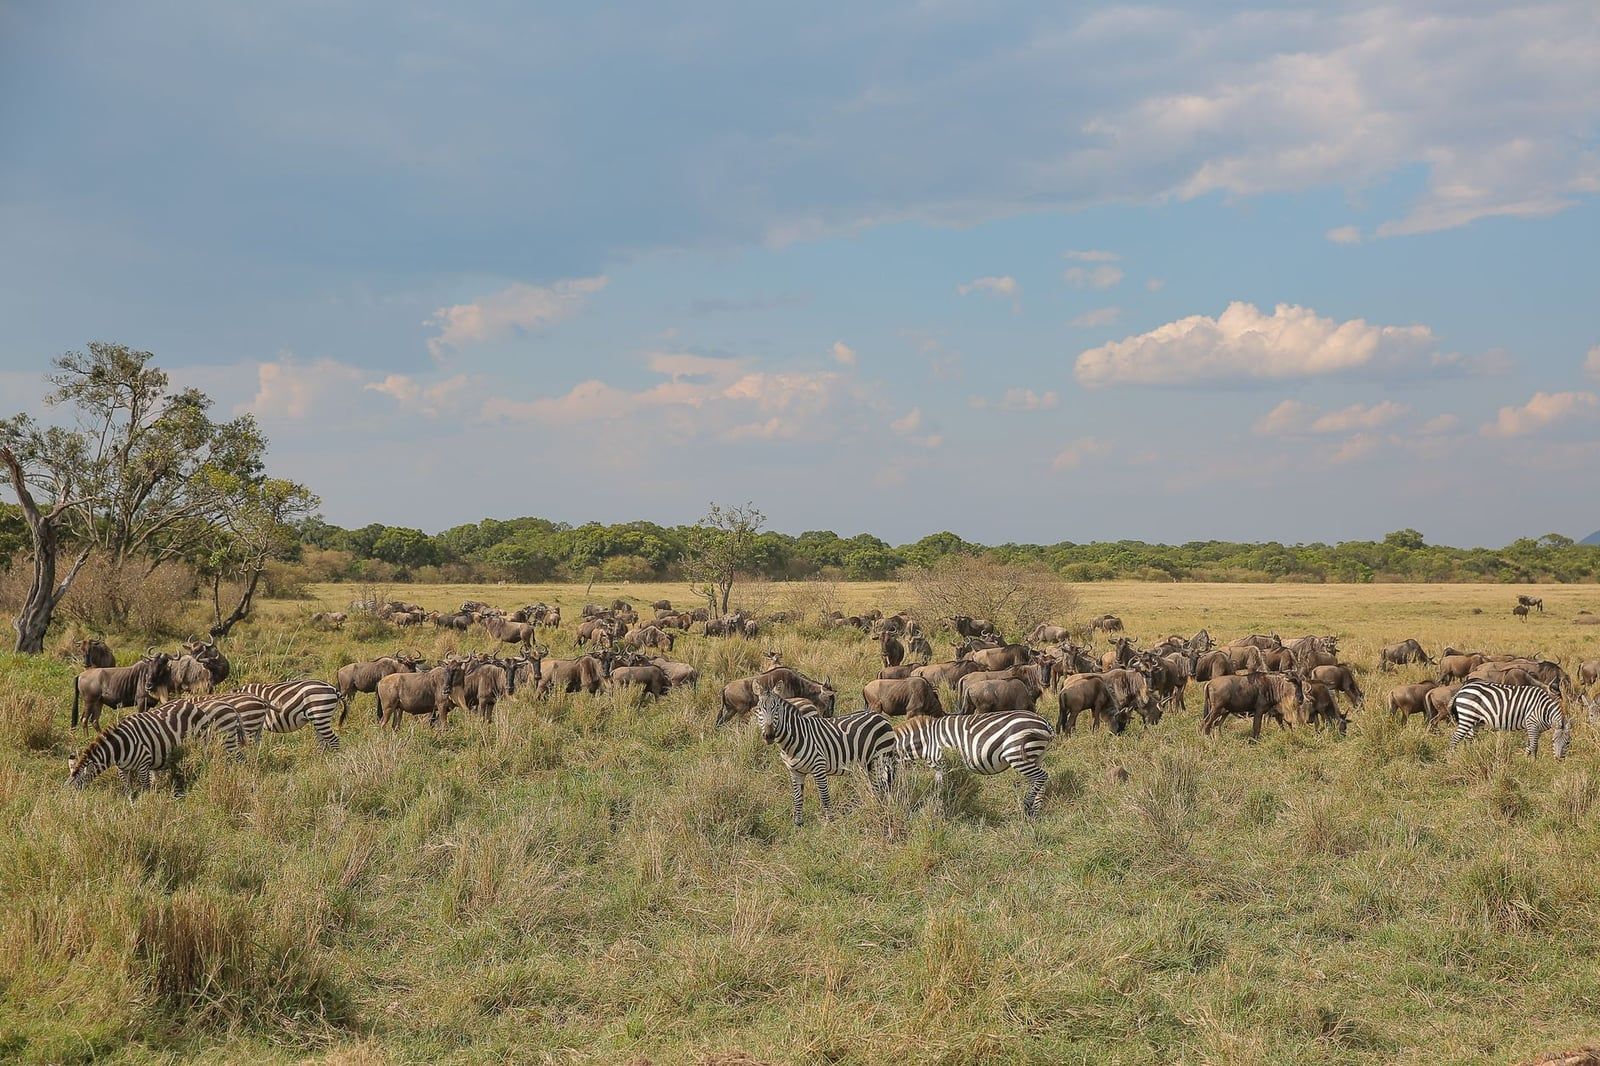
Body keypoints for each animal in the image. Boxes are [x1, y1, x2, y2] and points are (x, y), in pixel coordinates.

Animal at [67, 698, 248, 797]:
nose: (70, 806)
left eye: (77, 785)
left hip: (220, 740)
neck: (119, 748)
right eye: (68, 785)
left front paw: (147, 808)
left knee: (237, 759)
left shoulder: (143, 765)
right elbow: (128, 791)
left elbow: (146, 789)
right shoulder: (123, 769)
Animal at [753, 685, 896, 825]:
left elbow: (824, 797)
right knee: (877, 787)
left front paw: (830, 823)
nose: (769, 735)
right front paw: (798, 824)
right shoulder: (795, 772)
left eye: (776, 708)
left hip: (880, 757)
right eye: (759, 709)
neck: (795, 738)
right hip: (869, 762)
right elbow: (798, 798)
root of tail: (882, 717)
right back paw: (878, 808)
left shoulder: (819, 767)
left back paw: (882, 810)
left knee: (882, 786)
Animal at [894, 710, 1054, 816]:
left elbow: (945, 789)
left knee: (1041, 777)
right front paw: (938, 807)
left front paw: (942, 809)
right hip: (1036, 756)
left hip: (1017, 755)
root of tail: (1045, 723)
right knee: (1038, 782)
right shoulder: (938, 769)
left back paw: (1027, 806)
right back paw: (1035, 812)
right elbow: (939, 789)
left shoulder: (944, 764)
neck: (927, 741)